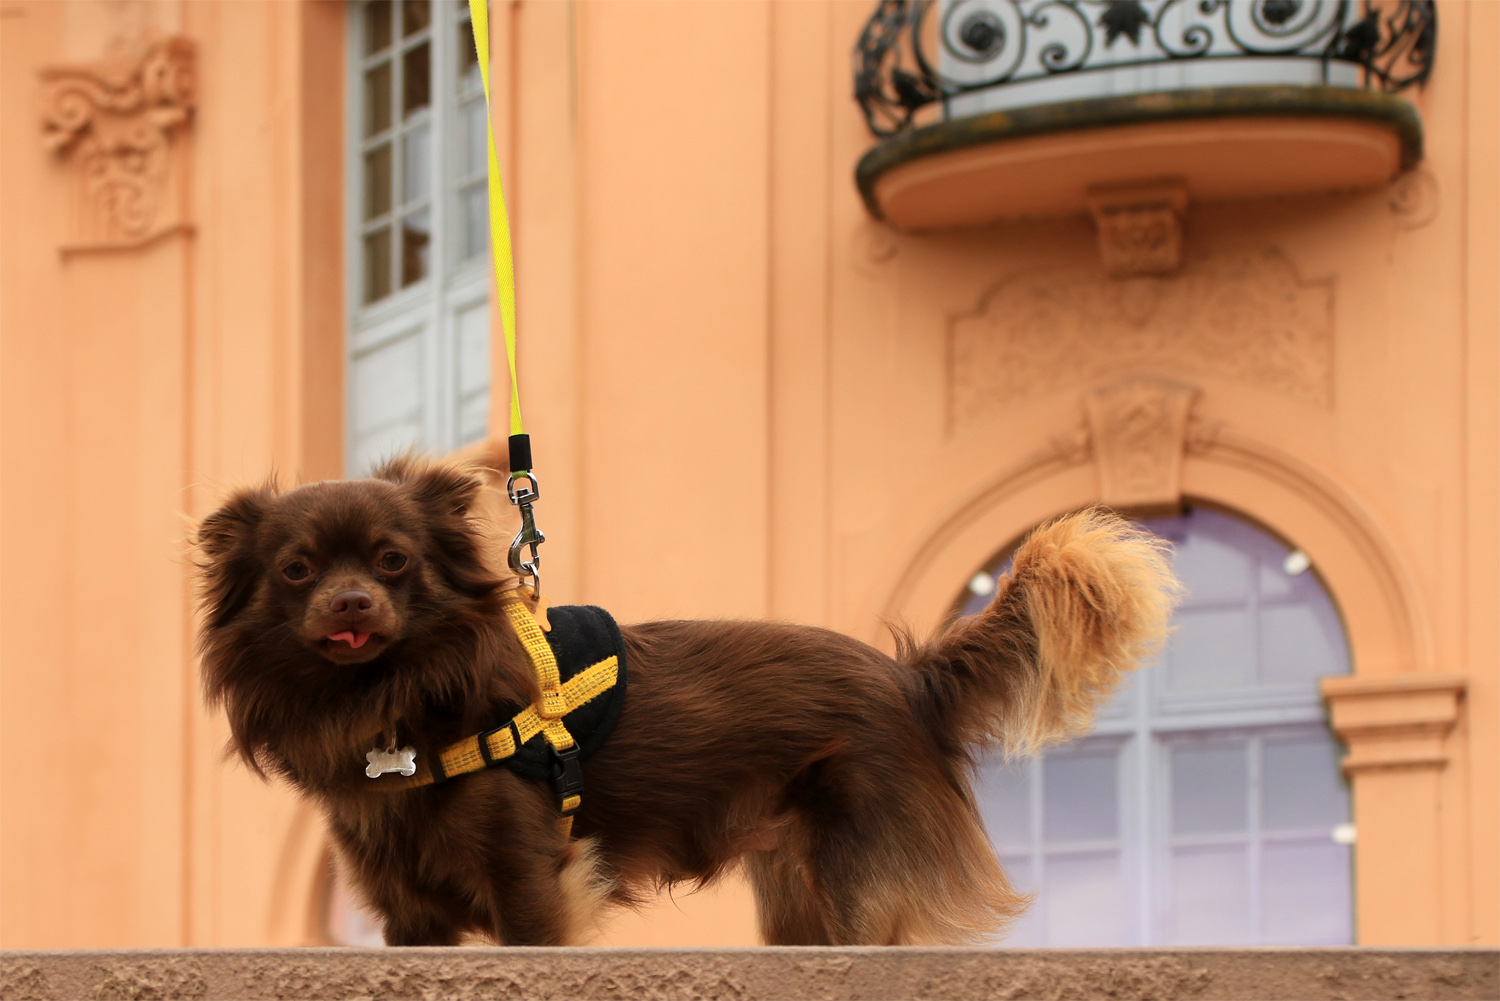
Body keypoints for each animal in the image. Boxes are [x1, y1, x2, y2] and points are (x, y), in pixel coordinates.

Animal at [199, 459, 1176, 942]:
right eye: (298, 571)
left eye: (393, 560)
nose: (352, 602)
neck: (394, 698)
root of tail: (909, 678)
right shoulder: (410, 915)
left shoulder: (532, 883)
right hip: (794, 893)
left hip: (860, 877)